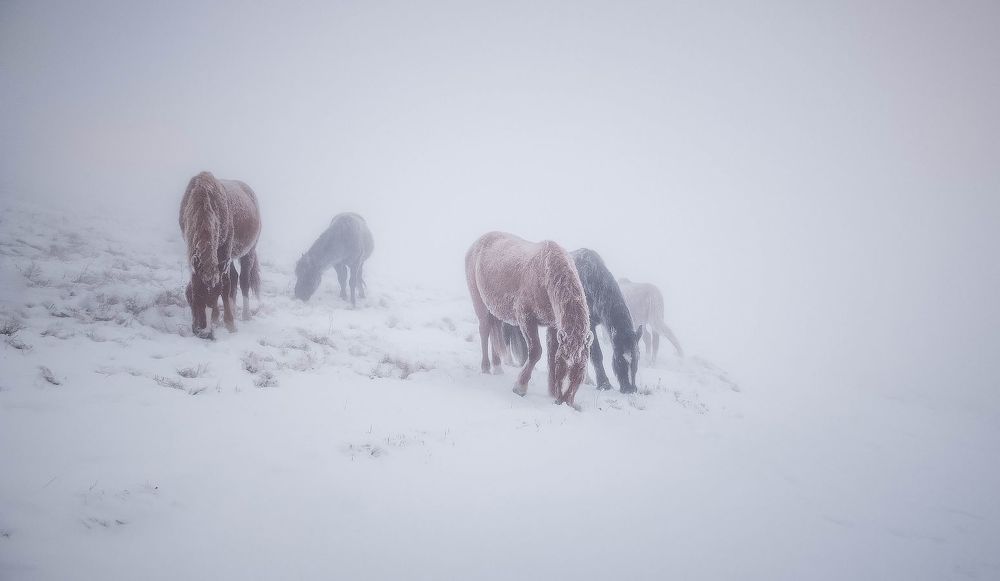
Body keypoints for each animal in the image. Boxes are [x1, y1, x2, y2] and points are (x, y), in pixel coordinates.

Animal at [179, 171, 261, 339]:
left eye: (214, 297)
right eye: (195, 295)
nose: (204, 333)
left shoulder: (224, 250)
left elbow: (225, 285)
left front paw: (230, 324)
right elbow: (225, 283)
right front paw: (218, 319)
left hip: (248, 252)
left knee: (243, 280)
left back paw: (245, 315)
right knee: (235, 277)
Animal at [465, 231, 593, 409]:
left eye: (581, 369)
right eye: (562, 365)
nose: (564, 402)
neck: (545, 273)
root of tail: (478, 242)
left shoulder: (554, 326)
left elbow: (550, 355)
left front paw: (551, 392)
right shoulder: (526, 319)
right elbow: (535, 352)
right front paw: (520, 387)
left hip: (495, 309)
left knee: (494, 332)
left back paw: (497, 366)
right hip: (479, 303)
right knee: (484, 331)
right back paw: (486, 367)